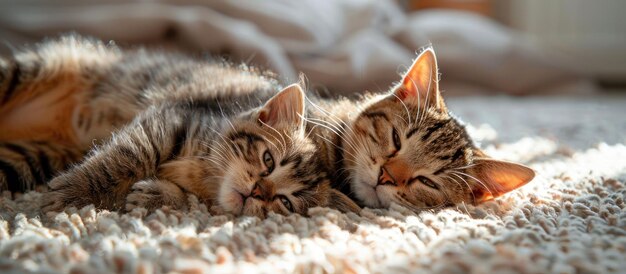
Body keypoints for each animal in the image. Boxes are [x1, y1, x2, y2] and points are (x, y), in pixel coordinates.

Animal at [0, 35, 356, 217]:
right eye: (268, 161)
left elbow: (191, 202)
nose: (258, 191)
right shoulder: (170, 118)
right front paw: (75, 192)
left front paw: (160, 196)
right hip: (32, 70)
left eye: (285, 202)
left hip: (29, 160)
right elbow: (125, 158)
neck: (207, 174)